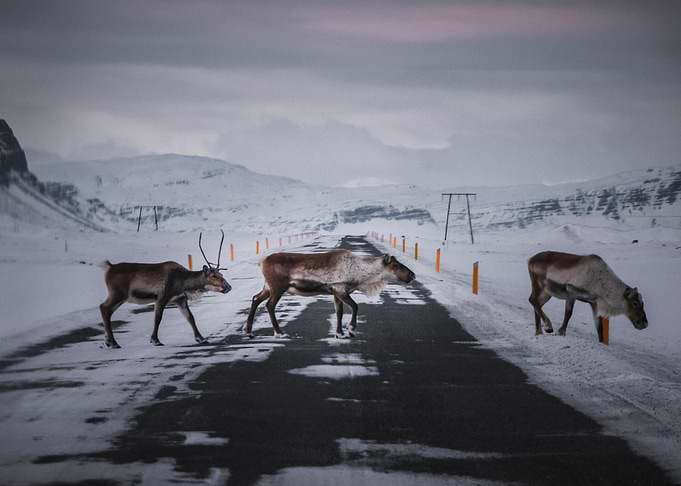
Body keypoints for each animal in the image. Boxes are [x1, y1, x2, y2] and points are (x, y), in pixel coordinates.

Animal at [99, 231, 232, 348]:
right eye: (213, 275)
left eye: (221, 274)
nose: (228, 287)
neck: (183, 284)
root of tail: (109, 267)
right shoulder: (162, 297)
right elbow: (158, 318)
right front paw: (155, 340)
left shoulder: (180, 299)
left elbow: (190, 317)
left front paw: (201, 339)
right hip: (118, 293)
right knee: (104, 307)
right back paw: (114, 343)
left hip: (120, 296)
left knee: (106, 310)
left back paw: (108, 341)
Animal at [245, 250, 415, 339]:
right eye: (396, 265)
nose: (412, 275)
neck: (359, 274)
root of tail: (263, 262)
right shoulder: (340, 289)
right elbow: (355, 307)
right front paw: (351, 329)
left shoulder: (336, 292)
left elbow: (339, 312)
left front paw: (339, 333)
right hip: (278, 287)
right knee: (269, 305)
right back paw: (279, 333)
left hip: (268, 287)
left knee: (255, 299)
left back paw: (248, 331)